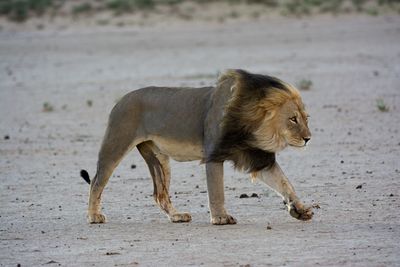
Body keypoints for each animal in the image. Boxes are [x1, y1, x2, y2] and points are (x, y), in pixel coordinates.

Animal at [79, 69, 314, 226]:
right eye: (292, 119)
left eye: (306, 118)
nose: (308, 139)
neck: (253, 125)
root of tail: (120, 100)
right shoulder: (214, 154)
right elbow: (216, 190)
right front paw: (220, 217)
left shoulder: (256, 157)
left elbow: (284, 183)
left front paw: (299, 209)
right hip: (116, 143)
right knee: (97, 181)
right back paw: (93, 216)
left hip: (159, 157)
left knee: (160, 194)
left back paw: (177, 216)